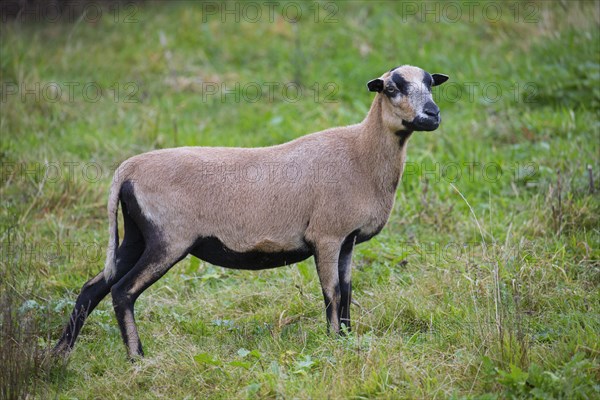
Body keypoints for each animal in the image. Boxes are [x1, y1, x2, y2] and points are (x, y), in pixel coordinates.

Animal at [54, 65, 448, 360]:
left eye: (431, 84)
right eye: (392, 88)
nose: (432, 115)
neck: (360, 152)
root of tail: (127, 169)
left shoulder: (347, 240)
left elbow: (348, 290)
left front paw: (349, 339)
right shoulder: (326, 235)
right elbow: (333, 292)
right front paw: (334, 343)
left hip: (136, 234)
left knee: (92, 288)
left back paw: (60, 353)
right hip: (167, 239)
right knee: (122, 291)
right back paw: (137, 358)